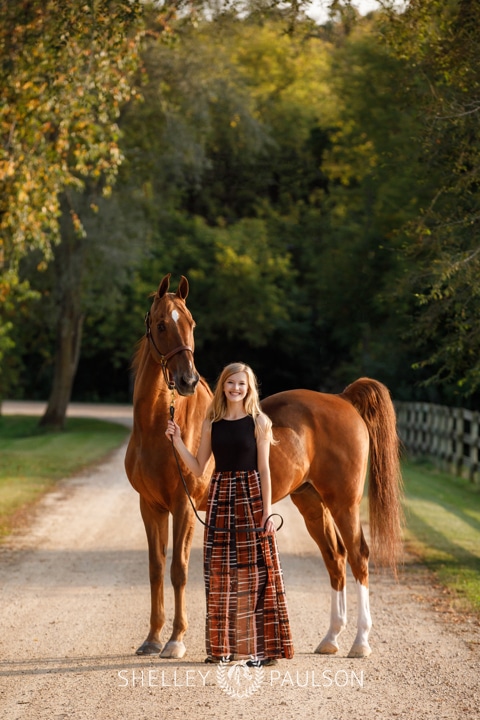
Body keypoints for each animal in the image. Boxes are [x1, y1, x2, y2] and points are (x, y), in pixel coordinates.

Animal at [125, 274, 404, 660]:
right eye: (161, 324)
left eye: (192, 323)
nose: (187, 381)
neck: (158, 430)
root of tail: (344, 400)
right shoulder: (149, 506)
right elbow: (155, 569)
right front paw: (152, 639)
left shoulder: (182, 506)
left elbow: (178, 569)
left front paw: (176, 640)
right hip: (312, 501)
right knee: (335, 557)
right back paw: (331, 639)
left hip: (344, 502)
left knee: (358, 556)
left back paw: (360, 642)